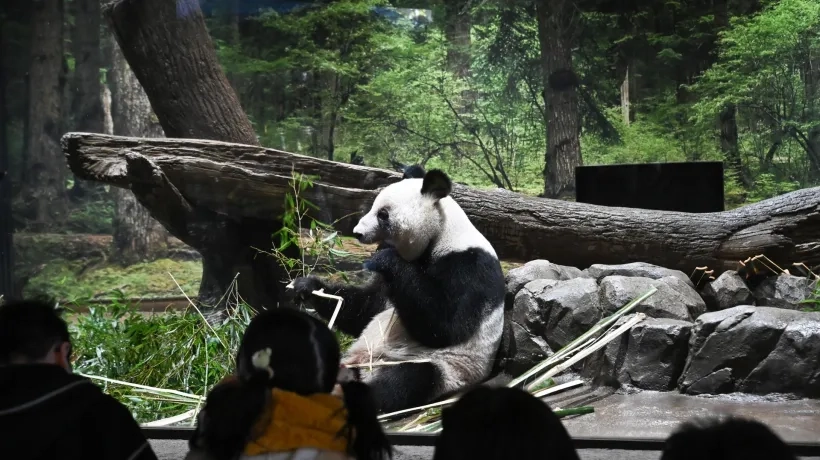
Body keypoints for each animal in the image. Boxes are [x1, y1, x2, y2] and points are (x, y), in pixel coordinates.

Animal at [290, 165, 508, 414]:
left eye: (383, 214)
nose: (357, 232)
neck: (441, 234)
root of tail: (362, 367)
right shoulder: (392, 286)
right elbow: (366, 308)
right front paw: (307, 287)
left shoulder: (469, 265)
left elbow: (446, 326)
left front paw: (382, 258)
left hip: (446, 367)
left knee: (406, 380)